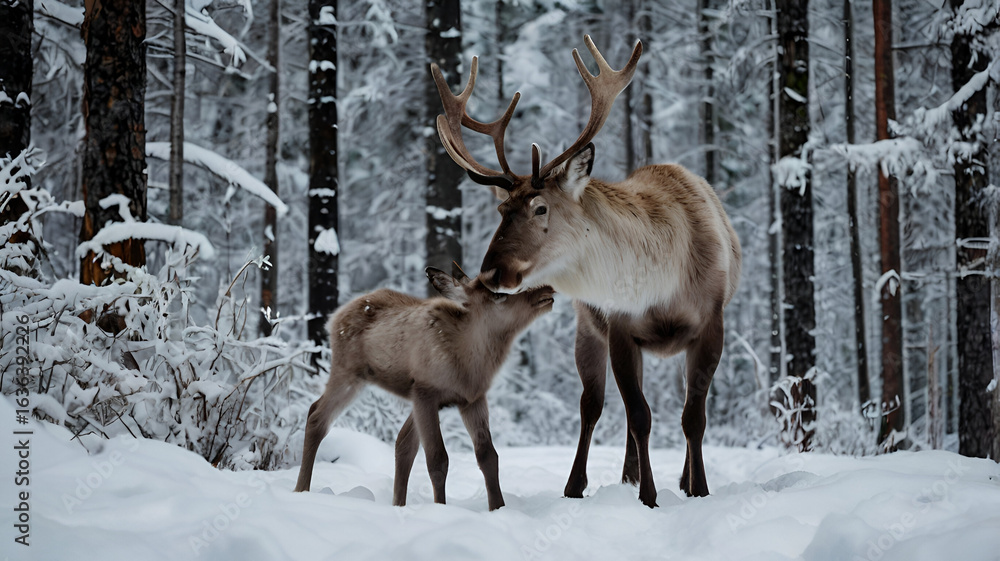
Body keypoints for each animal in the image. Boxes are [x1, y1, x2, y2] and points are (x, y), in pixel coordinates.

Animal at [294, 265, 554, 511]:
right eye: (498, 294)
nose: (547, 290)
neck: (471, 361)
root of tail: (334, 317)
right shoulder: (426, 392)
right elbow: (438, 459)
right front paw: (441, 508)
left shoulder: (472, 399)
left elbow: (488, 456)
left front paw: (498, 508)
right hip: (348, 374)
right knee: (317, 418)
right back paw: (300, 489)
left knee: (401, 442)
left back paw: (397, 503)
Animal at [430, 35, 742, 508]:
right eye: (502, 210)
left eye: (540, 207)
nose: (491, 273)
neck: (664, 284)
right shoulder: (620, 326)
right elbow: (639, 415)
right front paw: (648, 495)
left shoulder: (711, 321)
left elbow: (693, 418)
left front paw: (698, 490)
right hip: (587, 328)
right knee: (592, 405)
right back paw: (583, 484)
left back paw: (675, 478)